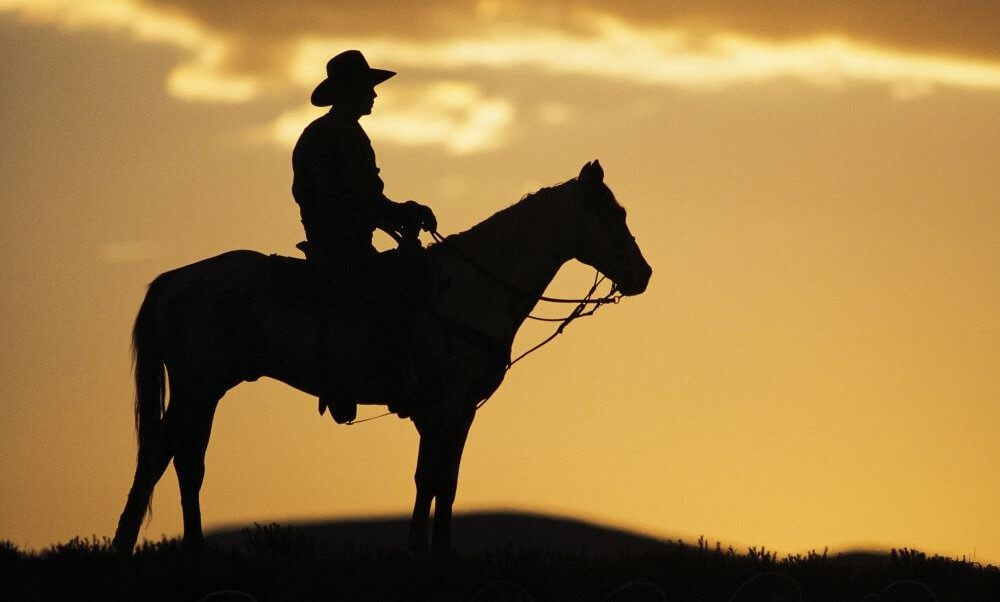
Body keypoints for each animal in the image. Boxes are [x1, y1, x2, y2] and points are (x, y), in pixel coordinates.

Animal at [113, 158, 652, 552]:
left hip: (203, 390)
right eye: (615, 215)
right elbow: (435, 478)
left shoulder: (453, 411)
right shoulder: (448, 403)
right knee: (165, 458)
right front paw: (429, 551)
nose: (642, 274)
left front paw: (429, 550)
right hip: (197, 386)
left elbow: (437, 480)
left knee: (184, 461)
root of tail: (173, 280)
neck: (471, 288)